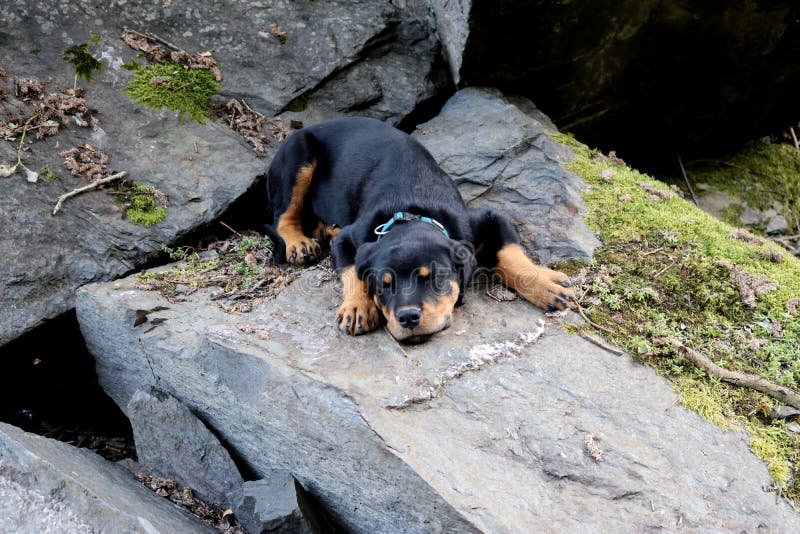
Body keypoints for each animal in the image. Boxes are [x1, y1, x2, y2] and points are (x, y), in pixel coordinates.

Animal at [266, 118, 572, 344]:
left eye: (433, 278)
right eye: (384, 285)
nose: (408, 318)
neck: (410, 211)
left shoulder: (487, 218)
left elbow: (510, 252)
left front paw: (546, 285)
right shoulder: (350, 239)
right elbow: (352, 271)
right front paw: (357, 306)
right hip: (298, 157)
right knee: (282, 215)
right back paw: (299, 243)